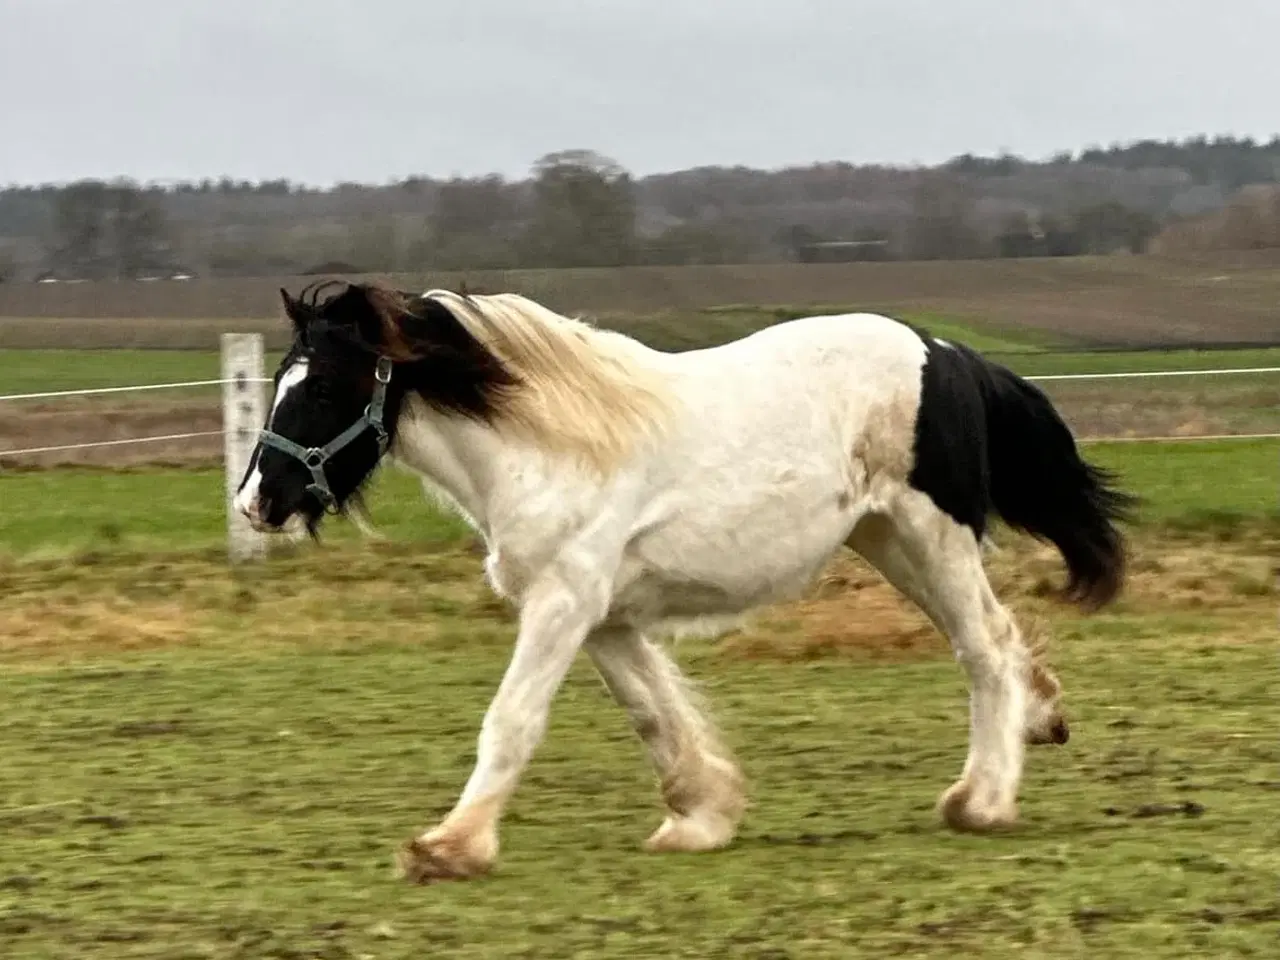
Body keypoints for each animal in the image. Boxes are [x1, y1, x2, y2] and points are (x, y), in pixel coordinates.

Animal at [235, 280, 1136, 885]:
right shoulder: (604, 616)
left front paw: (448, 847)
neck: (546, 446)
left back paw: (980, 801)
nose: (257, 502)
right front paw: (702, 818)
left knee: (984, 649)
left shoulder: (563, 604)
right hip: (890, 542)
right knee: (998, 636)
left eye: (324, 385)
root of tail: (949, 353)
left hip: (931, 534)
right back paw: (1041, 721)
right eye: (279, 381)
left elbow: (513, 721)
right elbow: (656, 717)